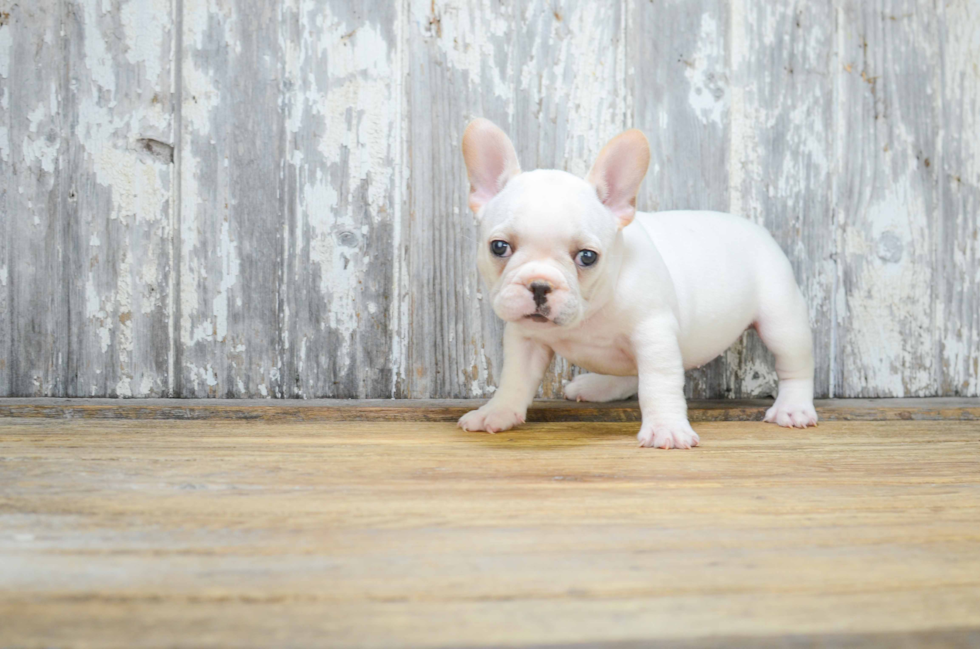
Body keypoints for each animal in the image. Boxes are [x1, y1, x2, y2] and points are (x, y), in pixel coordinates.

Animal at [456, 119, 816, 448]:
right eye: (499, 247)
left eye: (587, 257)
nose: (539, 284)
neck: (591, 310)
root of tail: (757, 229)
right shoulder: (527, 339)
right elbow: (514, 379)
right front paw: (497, 412)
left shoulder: (653, 336)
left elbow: (658, 384)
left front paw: (666, 428)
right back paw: (598, 387)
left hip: (781, 321)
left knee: (795, 364)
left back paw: (793, 407)